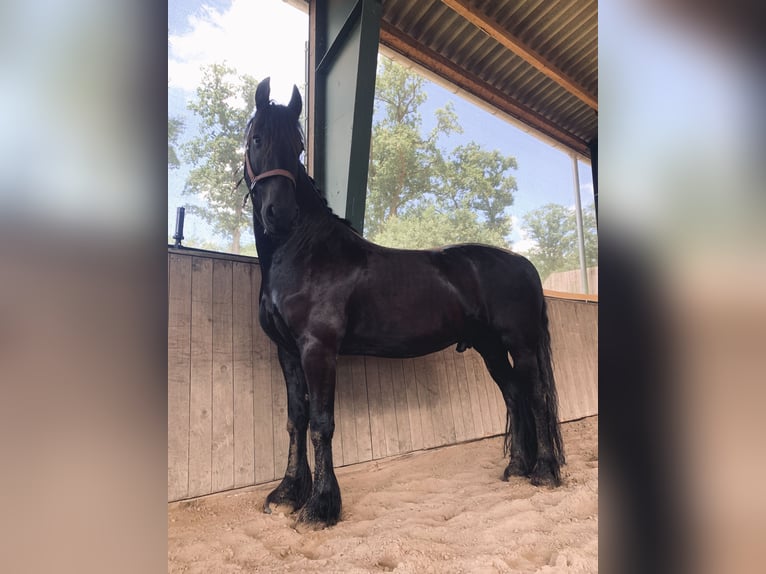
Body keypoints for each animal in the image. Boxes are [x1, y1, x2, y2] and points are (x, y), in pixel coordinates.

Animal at [242, 77, 564, 527]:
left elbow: (321, 423)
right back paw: (517, 468)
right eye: (257, 138)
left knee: (535, 397)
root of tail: (524, 263)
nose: (280, 213)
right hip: (490, 348)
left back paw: (546, 472)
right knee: (515, 396)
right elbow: (296, 421)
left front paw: (321, 506)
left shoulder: (317, 350)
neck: (304, 252)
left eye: (298, 145)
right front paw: (288, 494)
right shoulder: (287, 352)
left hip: (521, 343)